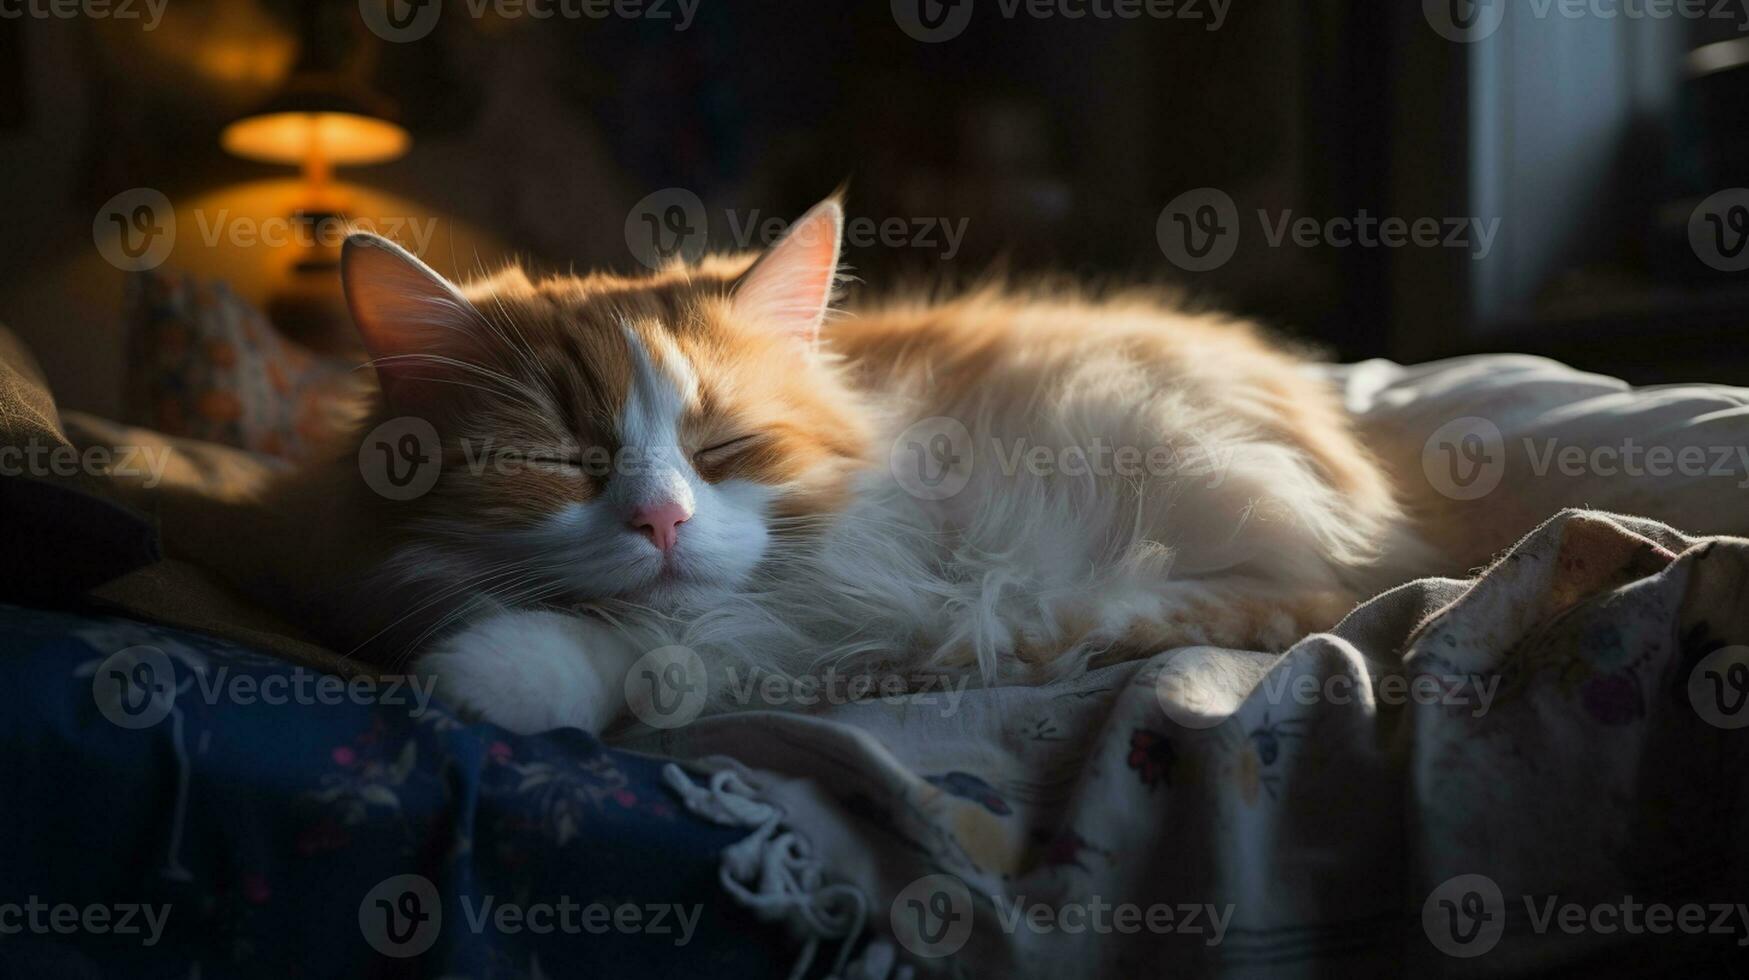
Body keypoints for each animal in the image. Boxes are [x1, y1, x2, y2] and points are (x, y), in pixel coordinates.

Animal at [170, 195, 1441, 731]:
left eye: (725, 447)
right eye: (559, 456)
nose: (663, 522)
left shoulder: (838, 608)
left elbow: (661, 653)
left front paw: (494, 672)